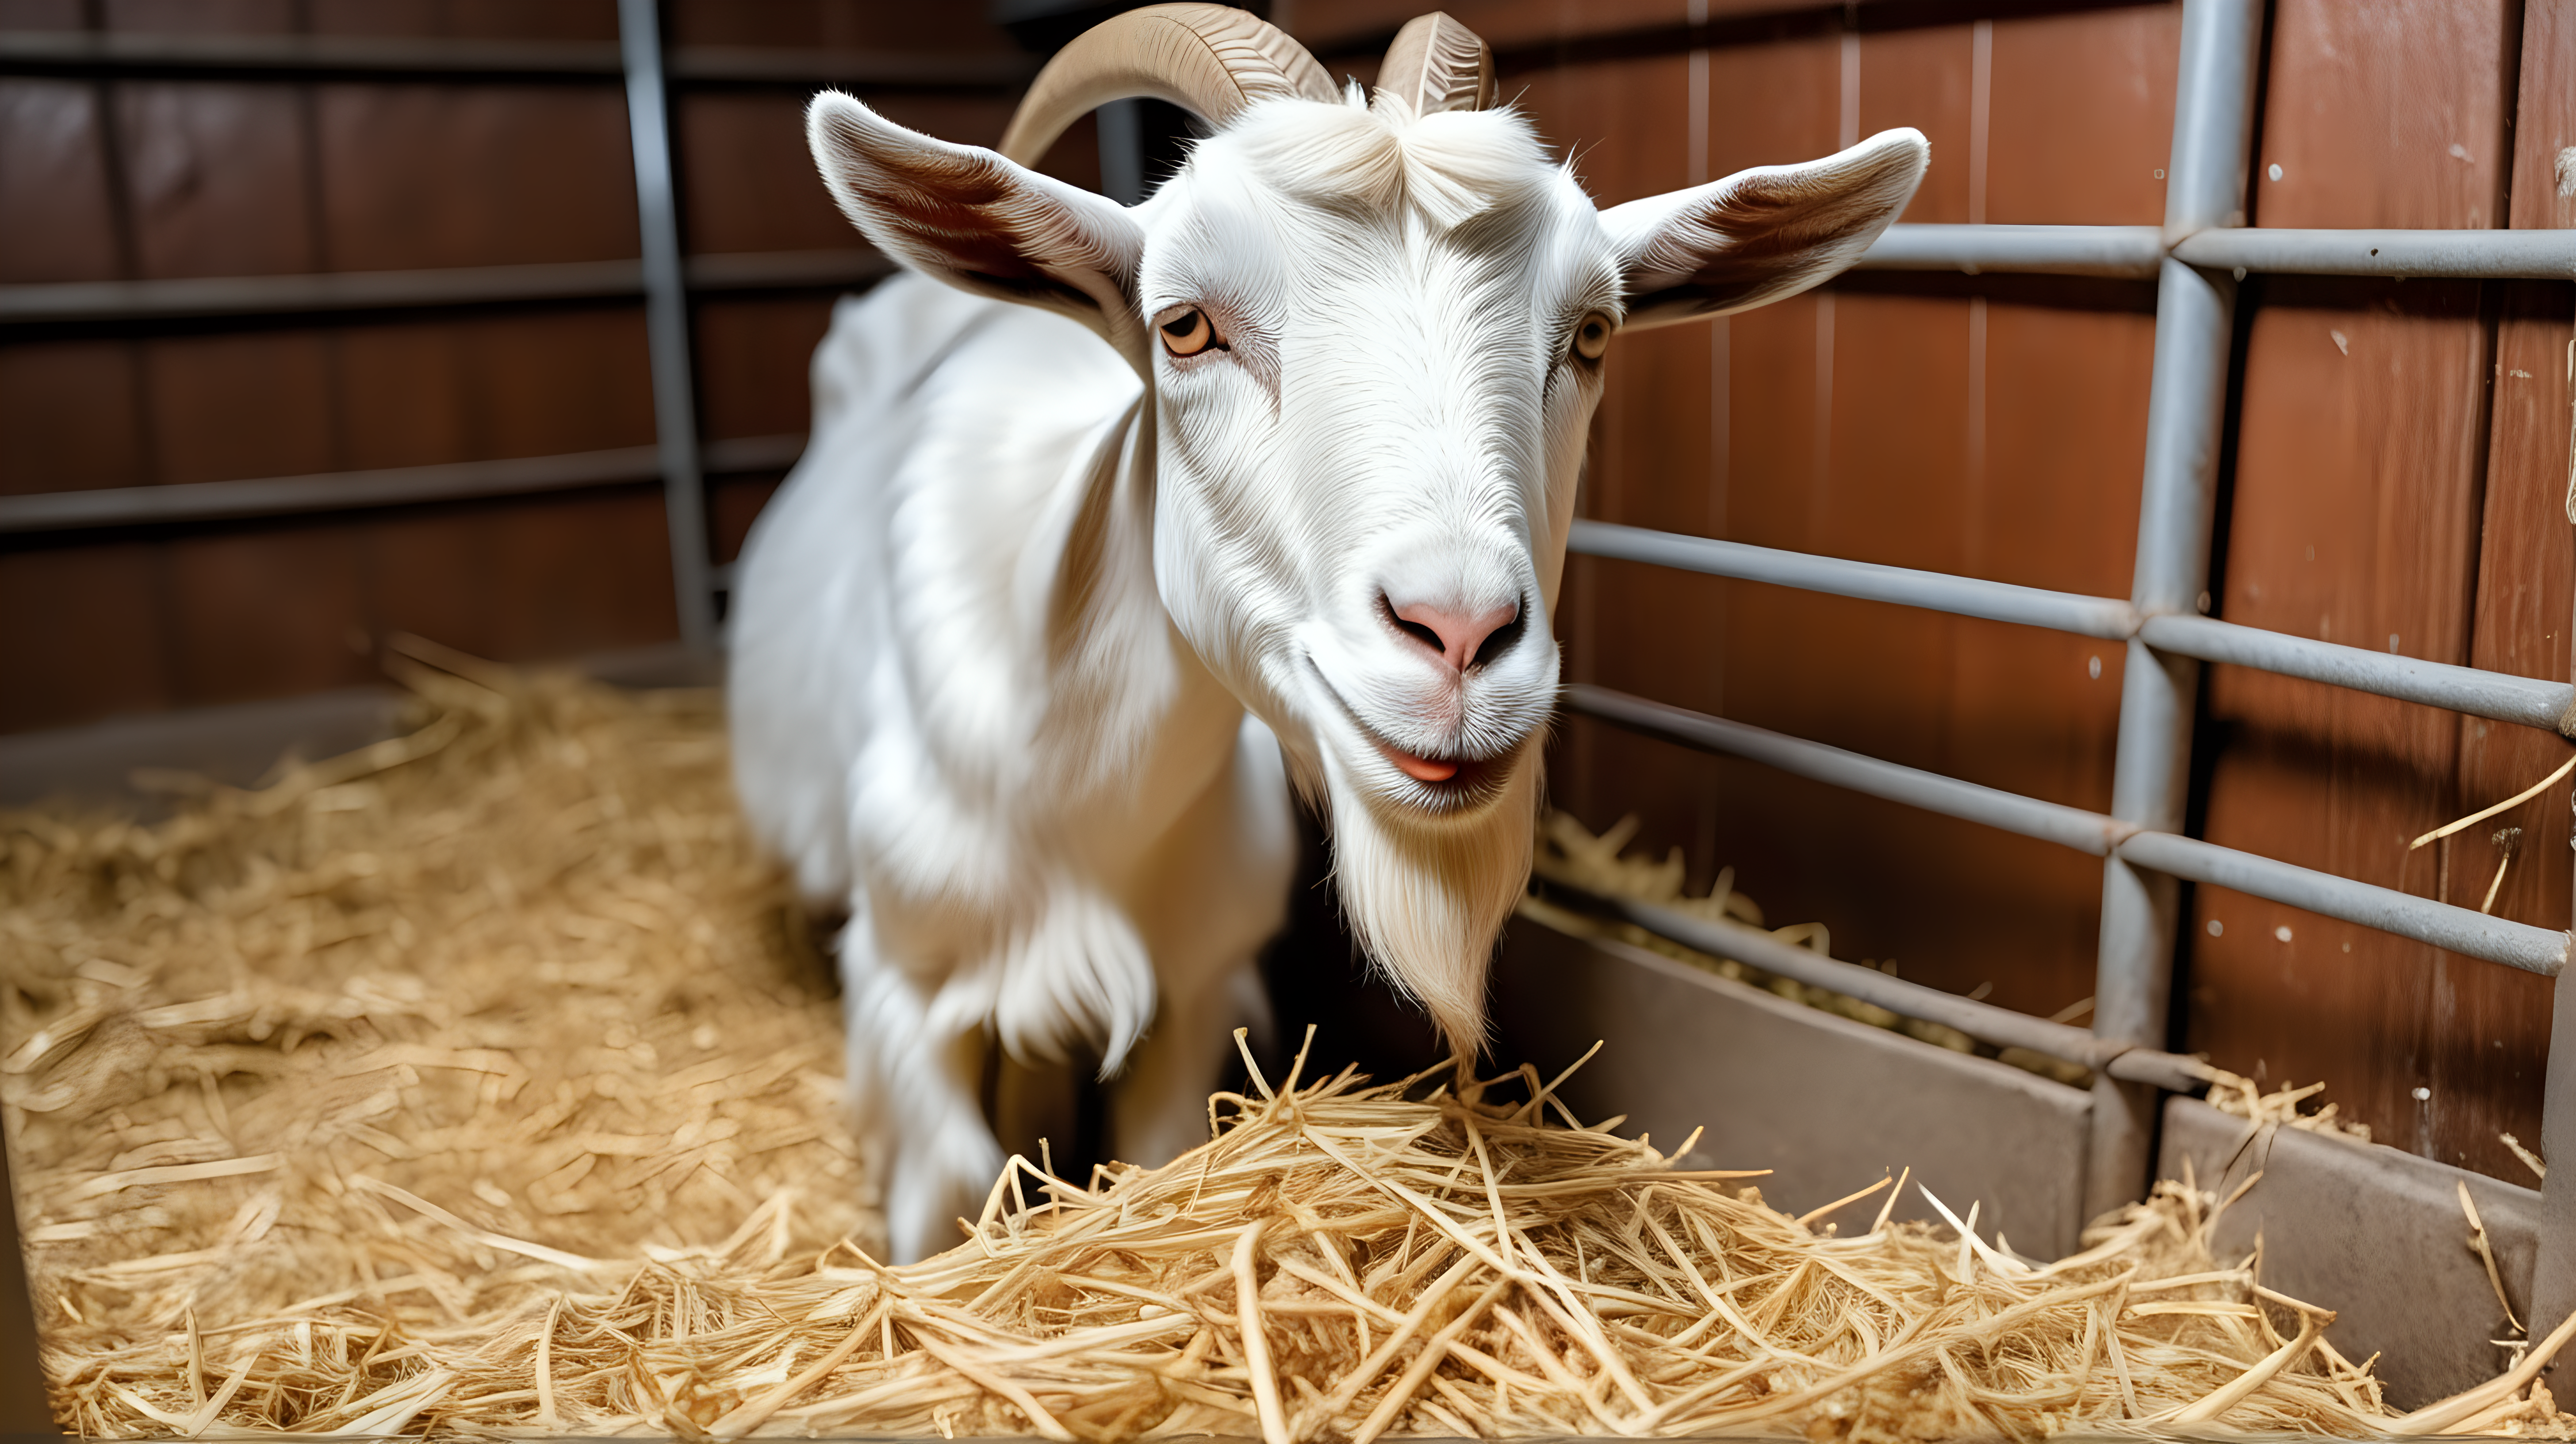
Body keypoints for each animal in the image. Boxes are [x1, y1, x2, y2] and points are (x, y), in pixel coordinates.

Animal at [736, 5, 1927, 1258]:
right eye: (1185, 325)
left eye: (1594, 333)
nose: (1460, 634)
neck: (1076, 796)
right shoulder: (903, 986)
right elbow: (950, 1197)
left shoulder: (1199, 989)